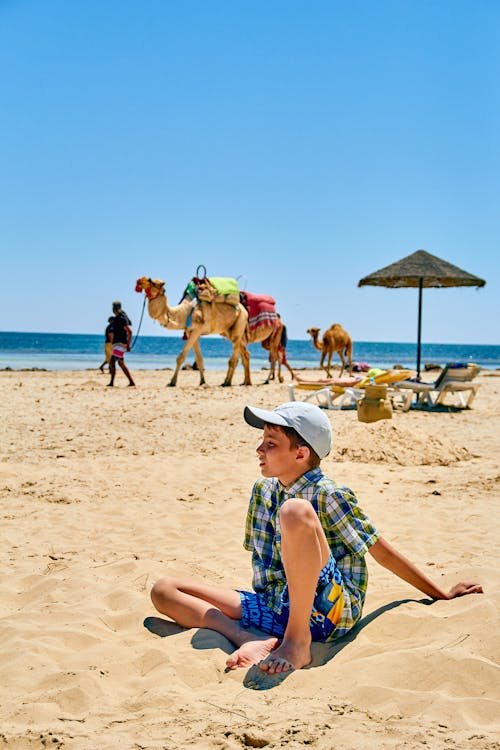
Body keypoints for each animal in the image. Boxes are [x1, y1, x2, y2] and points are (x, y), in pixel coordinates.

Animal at [135, 280, 286, 390]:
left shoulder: (197, 329)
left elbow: (181, 356)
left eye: (153, 282)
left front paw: (172, 382)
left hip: (241, 326)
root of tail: (244, 309)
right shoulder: (192, 332)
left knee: (243, 358)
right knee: (243, 355)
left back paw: (230, 382)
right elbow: (199, 359)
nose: (139, 283)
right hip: (230, 331)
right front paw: (202, 382)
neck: (184, 312)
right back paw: (240, 381)